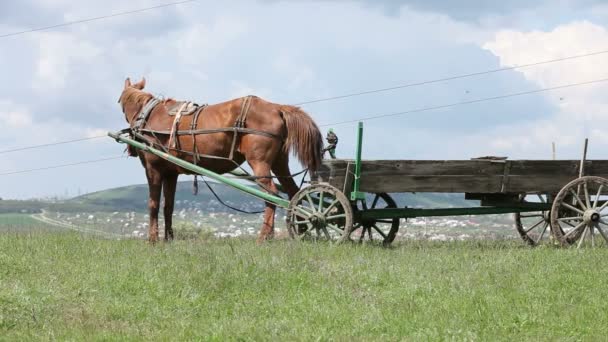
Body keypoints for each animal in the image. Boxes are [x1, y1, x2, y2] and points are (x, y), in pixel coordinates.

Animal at [117, 77, 324, 243]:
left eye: (119, 100)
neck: (150, 117)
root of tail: (277, 108)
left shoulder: (153, 169)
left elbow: (153, 204)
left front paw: (153, 239)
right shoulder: (171, 173)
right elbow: (168, 206)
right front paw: (169, 238)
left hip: (260, 163)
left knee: (272, 194)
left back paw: (265, 235)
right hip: (279, 162)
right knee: (293, 193)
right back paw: (302, 228)